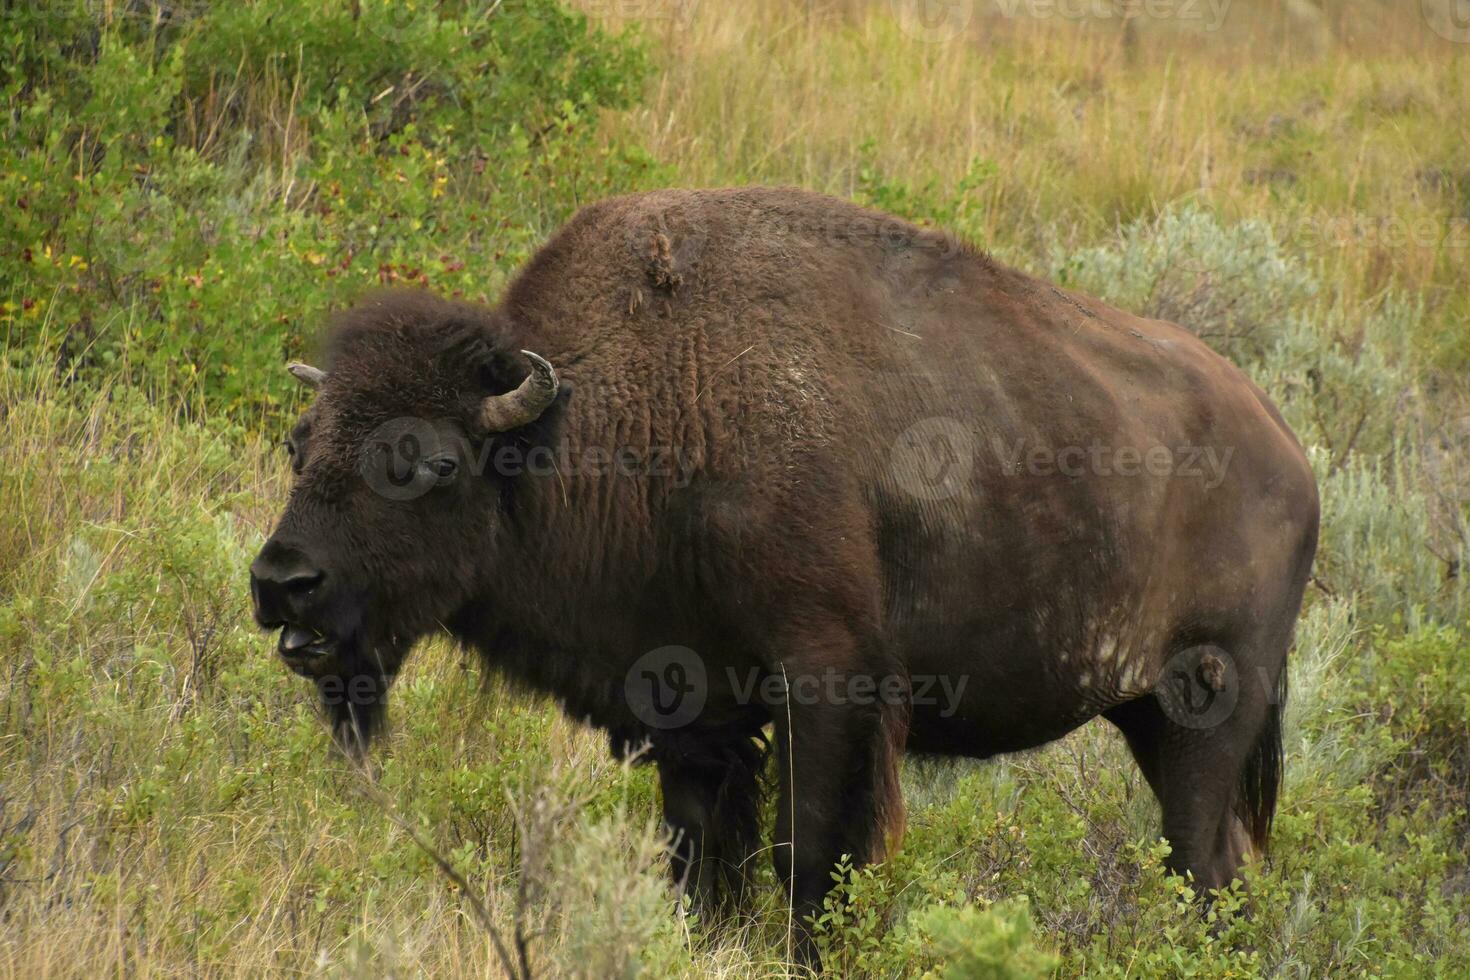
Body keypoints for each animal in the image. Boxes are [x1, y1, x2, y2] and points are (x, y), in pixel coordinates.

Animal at [252, 185, 1323, 963]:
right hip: (1147, 717)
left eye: (426, 461)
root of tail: (1290, 451)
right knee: (1221, 867)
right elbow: (700, 863)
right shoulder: (690, 709)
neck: (616, 417)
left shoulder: (828, 682)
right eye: (301, 443)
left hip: (1205, 709)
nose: (280, 583)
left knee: (1200, 863)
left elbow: (806, 855)